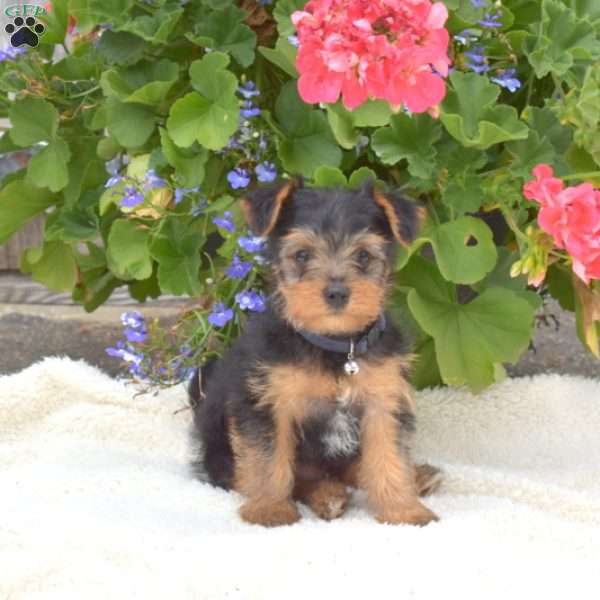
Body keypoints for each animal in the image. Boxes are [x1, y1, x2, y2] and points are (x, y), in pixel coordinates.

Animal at [190, 180, 442, 528]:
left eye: (363, 256)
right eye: (302, 254)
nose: (336, 292)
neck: (337, 346)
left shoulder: (383, 400)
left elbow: (389, 456)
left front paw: (403, 510)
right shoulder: (267, 402)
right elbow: (268, 460)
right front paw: (269, 509)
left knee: (354, 467)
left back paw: (416, 477)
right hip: (219, 444)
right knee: (293, 476)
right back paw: (327, 495)